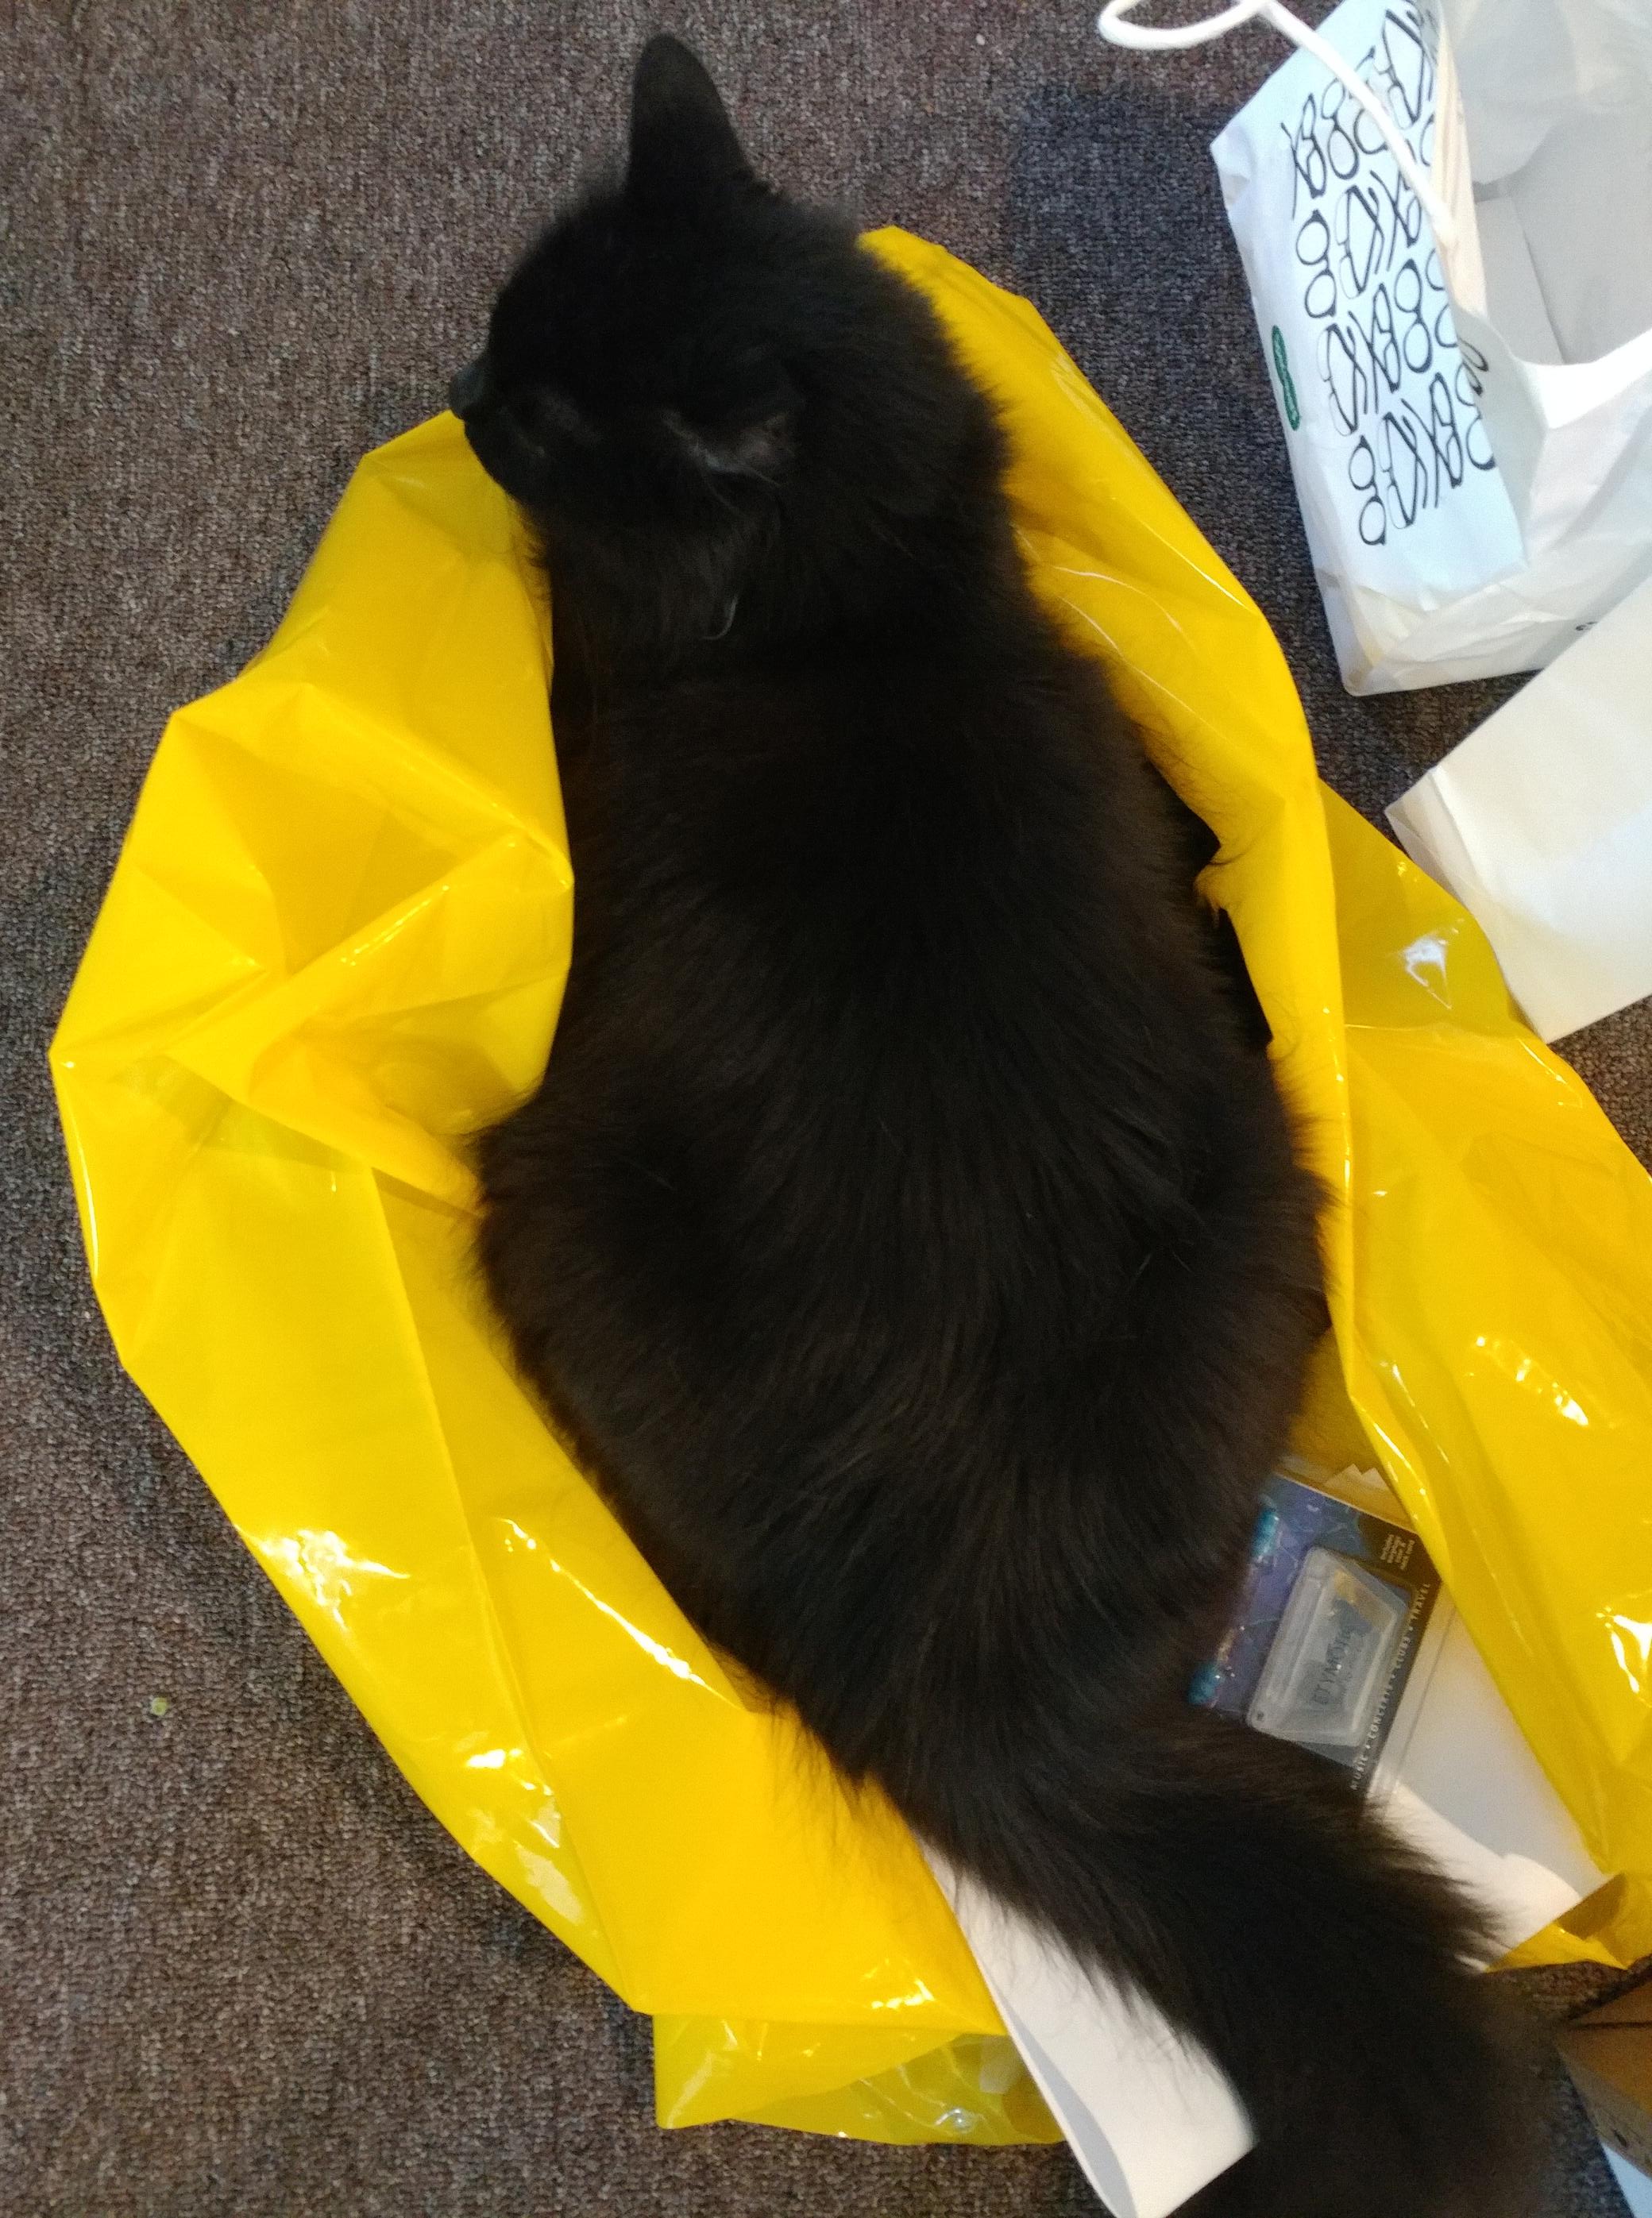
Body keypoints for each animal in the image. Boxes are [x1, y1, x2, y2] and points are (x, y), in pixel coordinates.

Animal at [452, 36, 1540, 2218]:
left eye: (544, 412)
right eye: (514, 346)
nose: (456, 394)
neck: (874, 605)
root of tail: (970, 1672)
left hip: (548, 1198)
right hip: (1262, 1187)